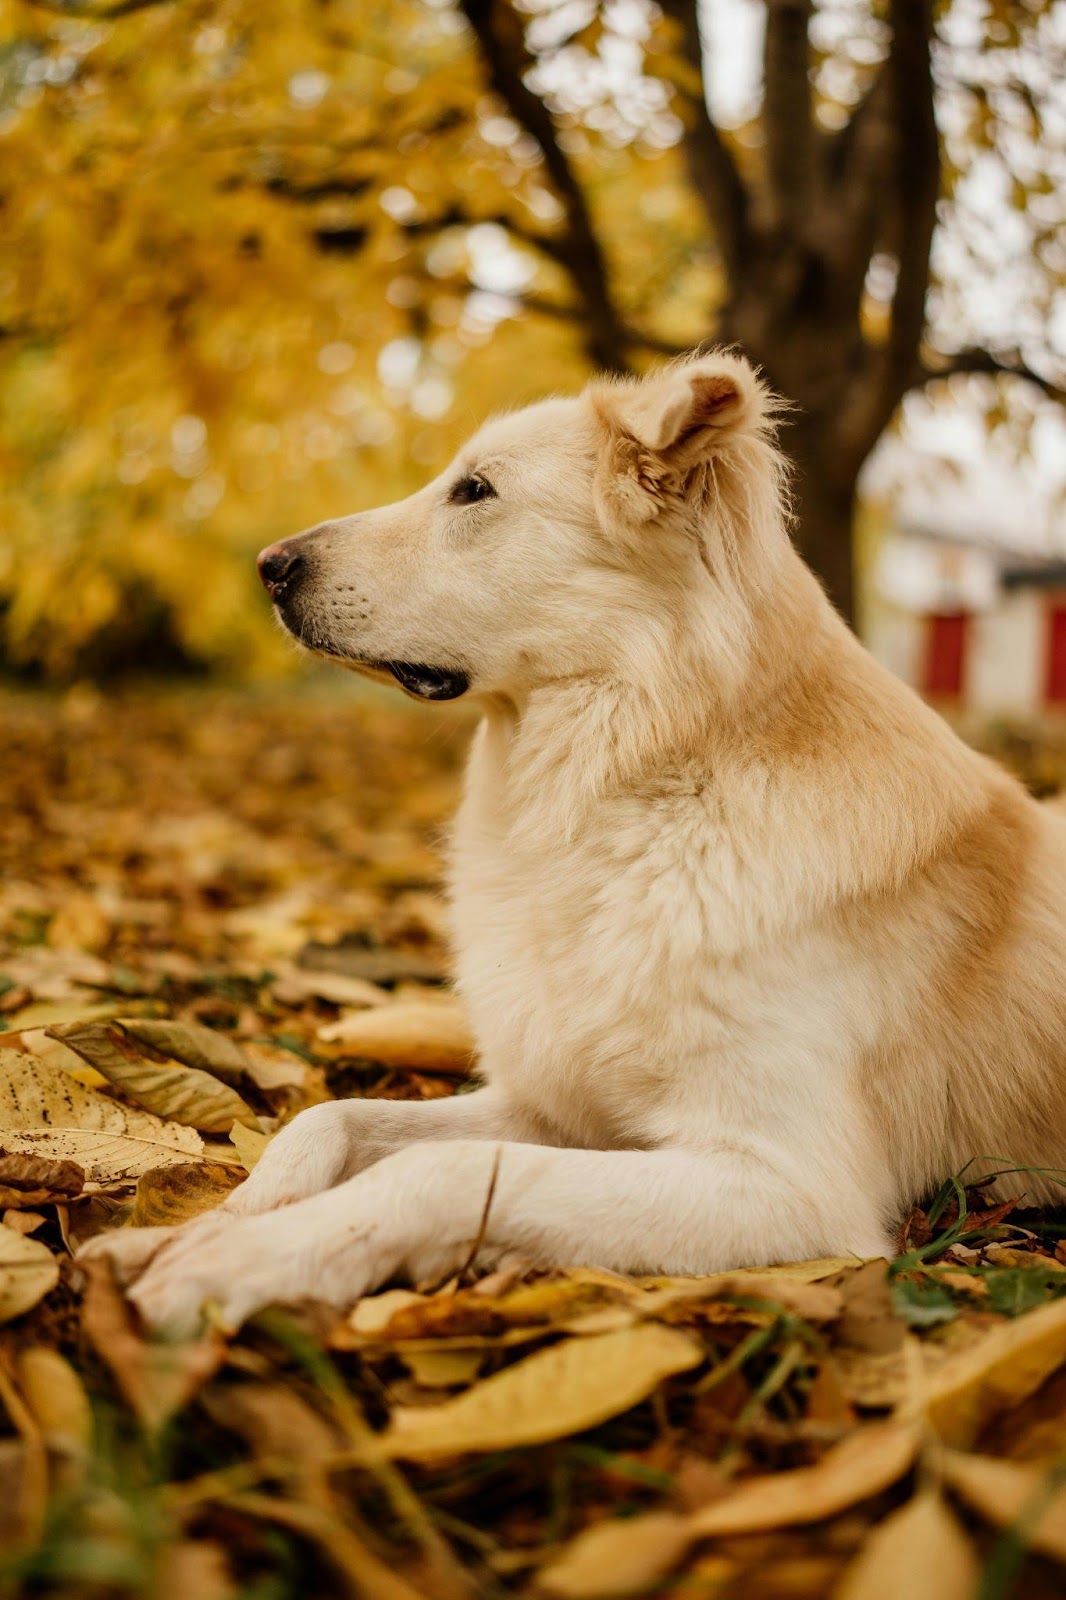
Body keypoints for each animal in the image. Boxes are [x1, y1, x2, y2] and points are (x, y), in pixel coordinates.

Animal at [85, 353, 1066, 1337]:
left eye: (475, 490)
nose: (268, 566)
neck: (638, 784)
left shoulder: (792, 1184)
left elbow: (445, 1169)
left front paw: (241, 1259)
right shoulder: (559, 1108)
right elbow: (329, 1117)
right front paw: (201, 1227)